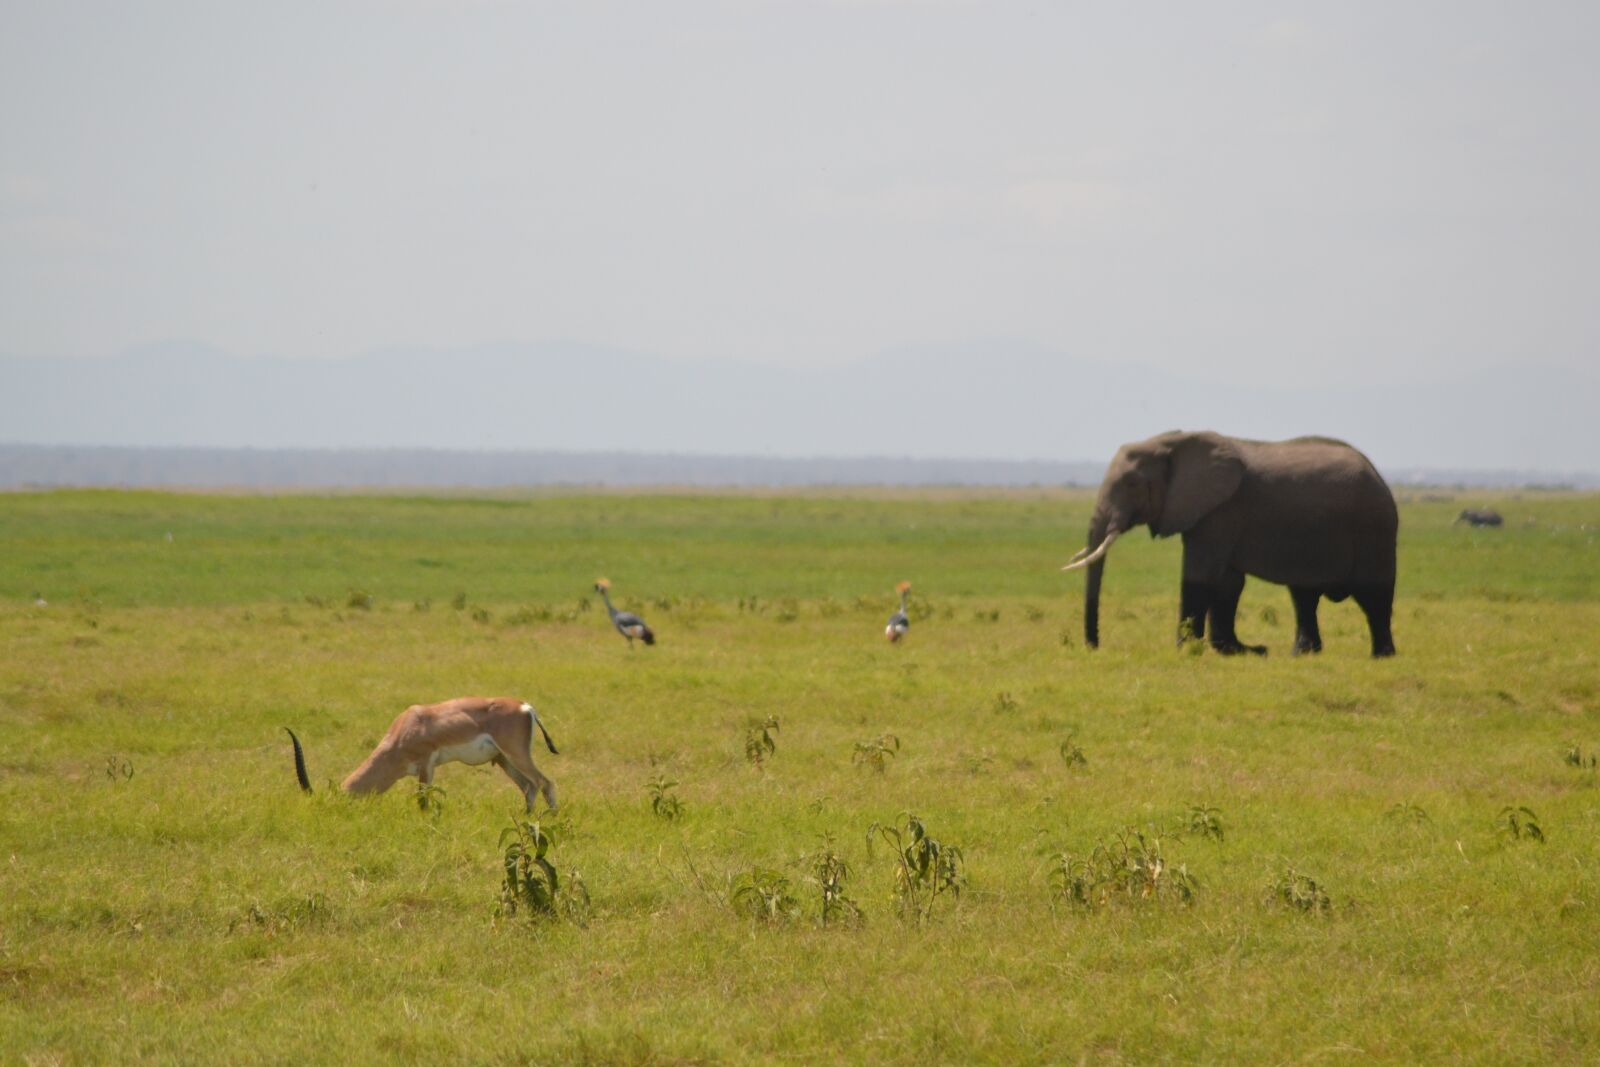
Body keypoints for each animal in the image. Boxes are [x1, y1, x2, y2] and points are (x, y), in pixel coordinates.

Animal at [1063, 431, 1398, 657]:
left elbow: (1200, 575)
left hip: (1375, 528)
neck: (1173, 441)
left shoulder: (1221, 510)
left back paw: (1382, 656)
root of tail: (1378, 474)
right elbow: (1227, 583)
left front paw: (1186, 649)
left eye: (1131, 484)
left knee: (1374, 596)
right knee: (1304, 596)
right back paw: (1302, 654)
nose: (1094, 646)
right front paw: (1241, 650)